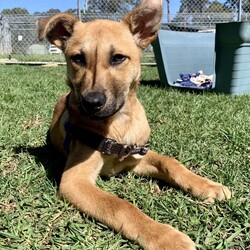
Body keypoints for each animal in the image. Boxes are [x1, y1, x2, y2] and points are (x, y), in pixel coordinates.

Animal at [36, 0, 231, 249]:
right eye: (77, 58)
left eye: (118, 58)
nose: (91, 103)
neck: (118, 126)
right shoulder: (74, 180)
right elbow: (120, 206)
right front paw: (164, 236)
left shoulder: (136, 157)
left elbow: (170, 162)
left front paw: (206, 185)